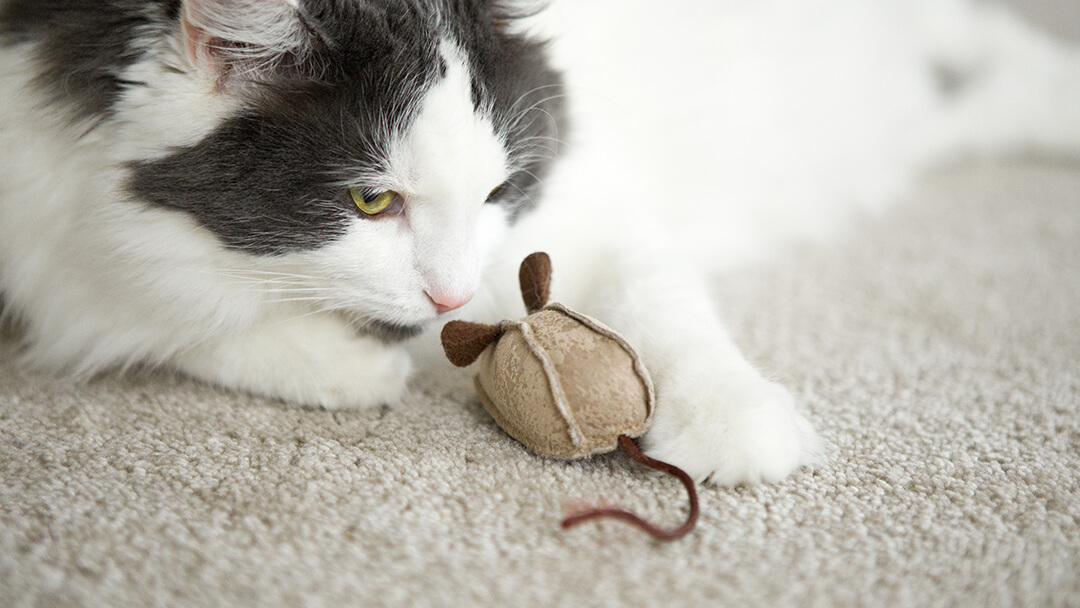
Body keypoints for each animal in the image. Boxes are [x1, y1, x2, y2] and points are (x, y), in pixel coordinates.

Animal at [2, 0, 1080, 485]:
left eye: (497, 190)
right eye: (371, 200)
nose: (452, 296)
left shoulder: (592, 208)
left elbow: (667, 309)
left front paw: (735, 428)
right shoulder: (50, 241)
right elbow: (166, 308)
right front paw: (347, 366)